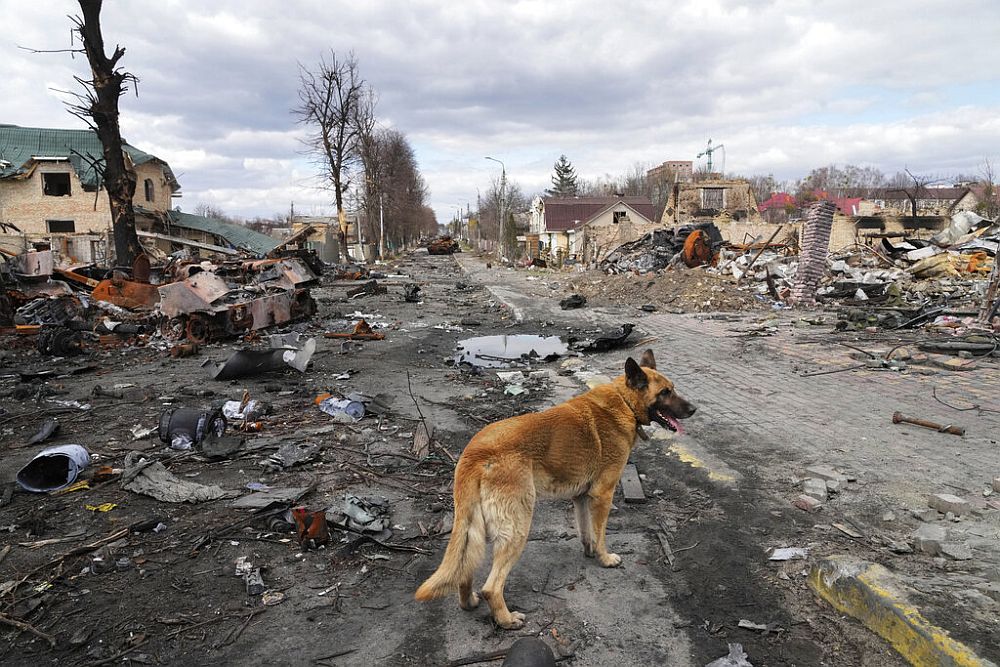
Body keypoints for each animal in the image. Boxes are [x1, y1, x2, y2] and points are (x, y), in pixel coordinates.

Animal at [414, 352, 696, 628]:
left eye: (673, 389)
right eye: (665, 392)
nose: (694, 409)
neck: (624, 402)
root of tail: (475, 452)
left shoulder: (581, 497)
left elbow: (586, 531)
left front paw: (589, 552)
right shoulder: (603, 495)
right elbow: (600, 534)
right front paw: (605, 559)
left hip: (476, 526)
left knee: (466, 568)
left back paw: (469, 602)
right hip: (518, 527)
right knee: (492, 587)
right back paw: (506, 620)